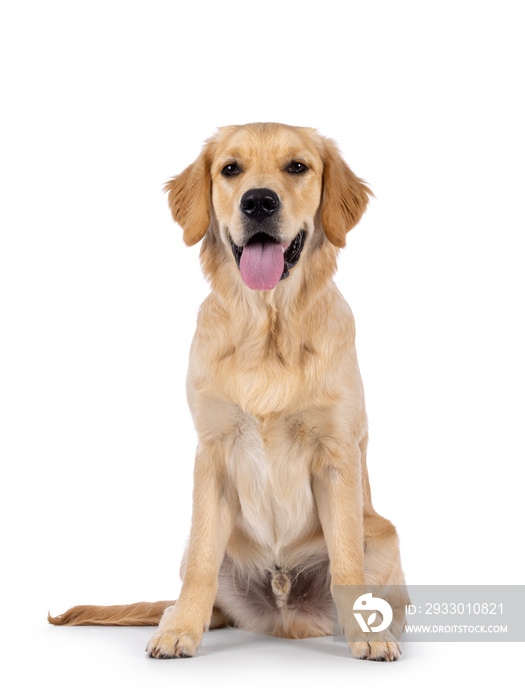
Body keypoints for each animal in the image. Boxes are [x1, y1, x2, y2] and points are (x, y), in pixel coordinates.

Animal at [49, 121, 408, 660]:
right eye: (230, 169)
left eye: (297, 167)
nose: (258, 201)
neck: (267, 328)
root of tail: (283, 617)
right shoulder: (213, 452)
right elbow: (201, 562)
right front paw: (179, 631)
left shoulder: (337, 454)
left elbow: (347, 559)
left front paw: (368, 634)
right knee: (197, 590)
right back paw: (178, 617)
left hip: (384, 534)